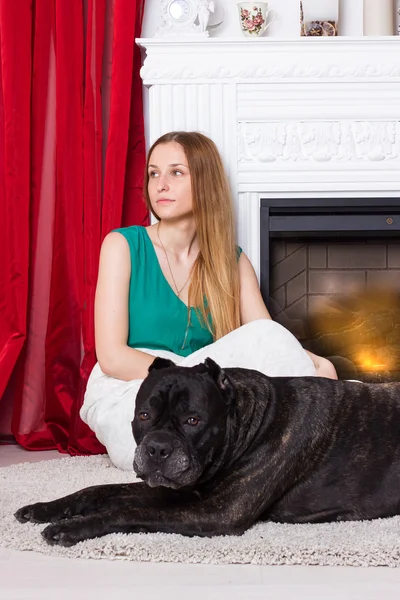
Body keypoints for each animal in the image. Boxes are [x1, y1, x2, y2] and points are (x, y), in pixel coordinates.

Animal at [14, 358, 400, 548]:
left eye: (193, 420)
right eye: (144, 415)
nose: (157, 448)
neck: (247, 421)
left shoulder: (217, 512)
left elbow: (125, 510)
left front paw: (71, 527)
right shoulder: (180, 492)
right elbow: (97, 491)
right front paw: (44, 509)